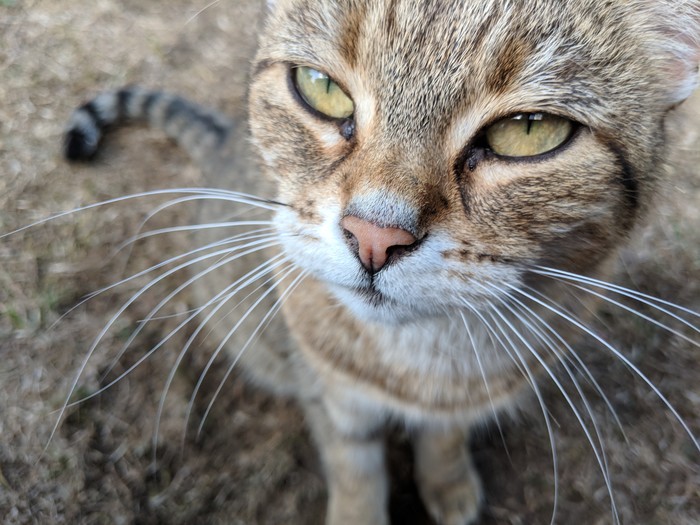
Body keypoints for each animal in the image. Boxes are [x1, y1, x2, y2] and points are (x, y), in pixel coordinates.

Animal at [49, 1, 700, 524]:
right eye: (319, 86)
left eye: (530, 130)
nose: (373, 237)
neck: (416, 362)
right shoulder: (329, 396)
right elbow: (355, 472)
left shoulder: (456, 403)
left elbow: (444, 441)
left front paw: (449, 484)